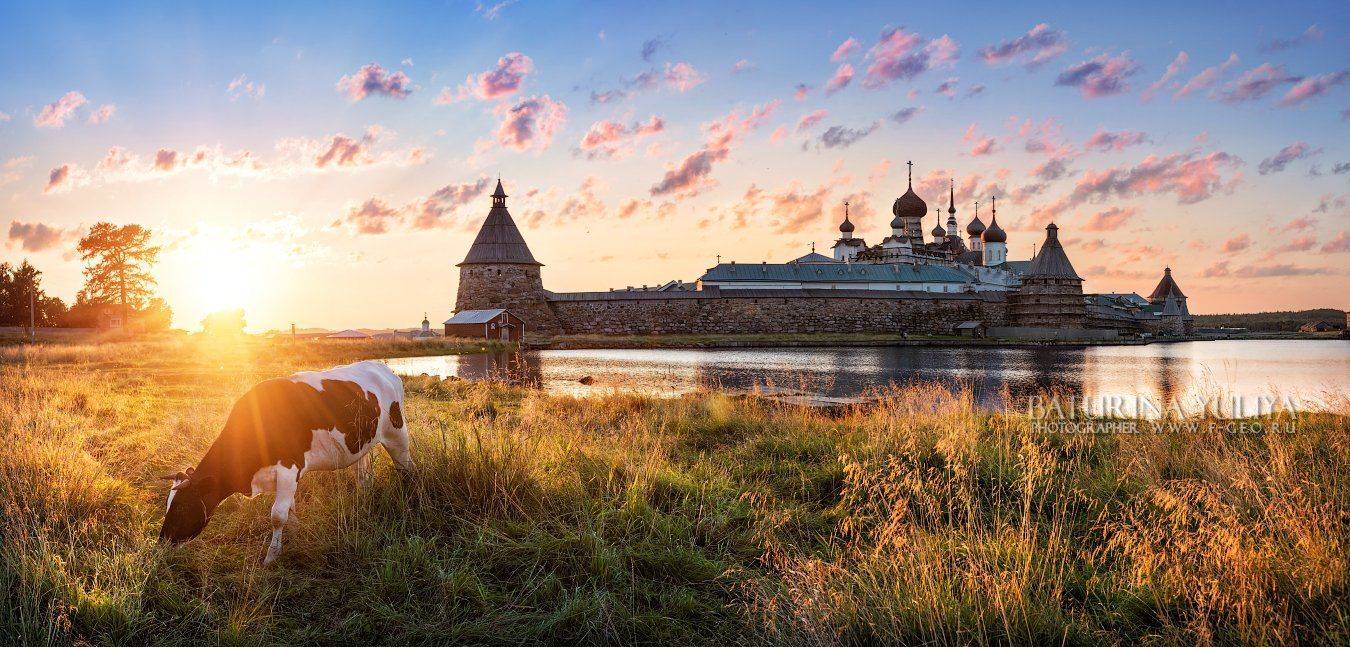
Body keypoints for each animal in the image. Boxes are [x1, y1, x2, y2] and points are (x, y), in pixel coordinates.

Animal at [160, 360, 412, 564]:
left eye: (182, 505)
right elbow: (289, 510)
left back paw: (410, 498)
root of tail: (384, 369)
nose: (162, 541)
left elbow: (277, 515)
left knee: (406, 468)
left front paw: (272, 555)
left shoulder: (289, 469)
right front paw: (296, 535)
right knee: (364, 477)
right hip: (362, 446)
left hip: (397, 434)